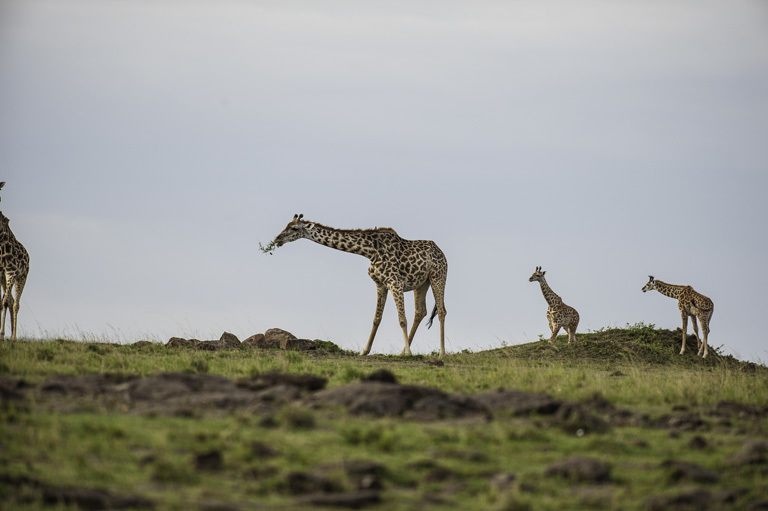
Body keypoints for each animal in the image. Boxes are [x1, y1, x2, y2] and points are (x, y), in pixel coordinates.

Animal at [272, 216, 448, 360]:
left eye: (295, 228)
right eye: (287, 225)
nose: (276, 238)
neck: (370, 251)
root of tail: (442, 253)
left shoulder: (395, 282)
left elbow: (402, 319)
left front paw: (410, 354)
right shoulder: (380, 284)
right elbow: (376, 319)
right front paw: (364, 351)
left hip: (438, 277)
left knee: (441, 310)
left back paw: (441, 353)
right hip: (422, 284)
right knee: (420, 311)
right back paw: (402, 352)